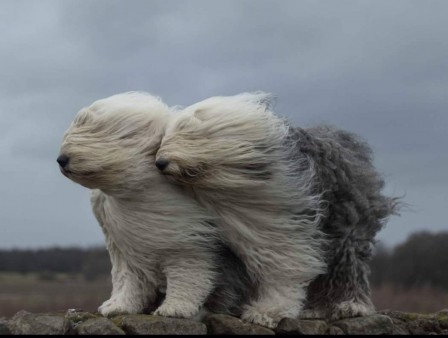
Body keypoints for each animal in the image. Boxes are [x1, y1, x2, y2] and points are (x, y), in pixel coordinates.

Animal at [157, 92, 400, 328]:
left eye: (188, 134)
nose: (159, 162)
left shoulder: (280, 224)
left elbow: (283, 267)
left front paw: (268, 312)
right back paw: (314, 310)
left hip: (346, 227)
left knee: (348, 265)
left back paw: (349, 305)